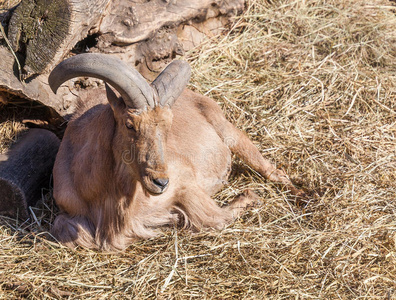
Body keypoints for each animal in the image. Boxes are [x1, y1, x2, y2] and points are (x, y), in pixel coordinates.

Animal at [48, 54, 304, 251]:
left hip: (227, 131)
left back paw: (302, 195)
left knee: (272, 170)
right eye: (129, 124)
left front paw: (250, 196)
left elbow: (214, 218)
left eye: (168, 125)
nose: (161, 182)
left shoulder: (184, 181)